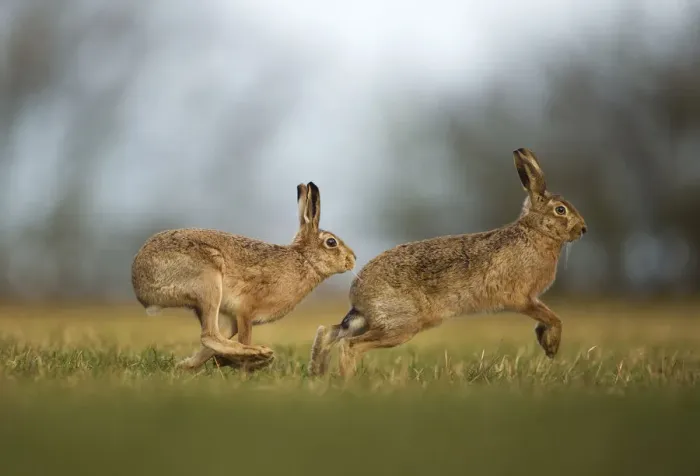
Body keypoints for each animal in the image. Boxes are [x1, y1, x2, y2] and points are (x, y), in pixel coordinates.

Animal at [131, 182, 356, 370]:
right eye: (331, 242)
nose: (353, 259)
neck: (305, 259)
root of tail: (139, 281)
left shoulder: (232, 318)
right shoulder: (245, 311)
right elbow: (243, 336)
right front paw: (246, 369)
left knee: (212, 338)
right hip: (209, 280)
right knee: (209, 335)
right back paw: (258, 353)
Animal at [309, 148, 587, 377]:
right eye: (560, 210)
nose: (583, 229)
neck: (536, 232)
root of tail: (357, 293)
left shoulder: (529, 299)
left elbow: (547, 318)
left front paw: (544, 341)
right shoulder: (522, 298)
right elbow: (554, 318)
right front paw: (551, 346)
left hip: (372, 322)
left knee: (329, 334)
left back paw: (319, 376)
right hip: (402, 325)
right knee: (351, 345)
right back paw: (345, 382)